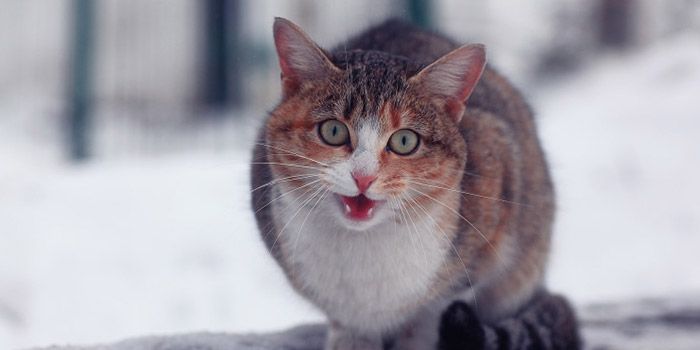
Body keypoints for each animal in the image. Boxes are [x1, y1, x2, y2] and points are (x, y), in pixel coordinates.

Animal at [252, 17, 580, 348]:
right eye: (333, 131)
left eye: (404, 141)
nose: (363, 176)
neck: (363, 247)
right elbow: (348, 327)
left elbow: (429, 316)